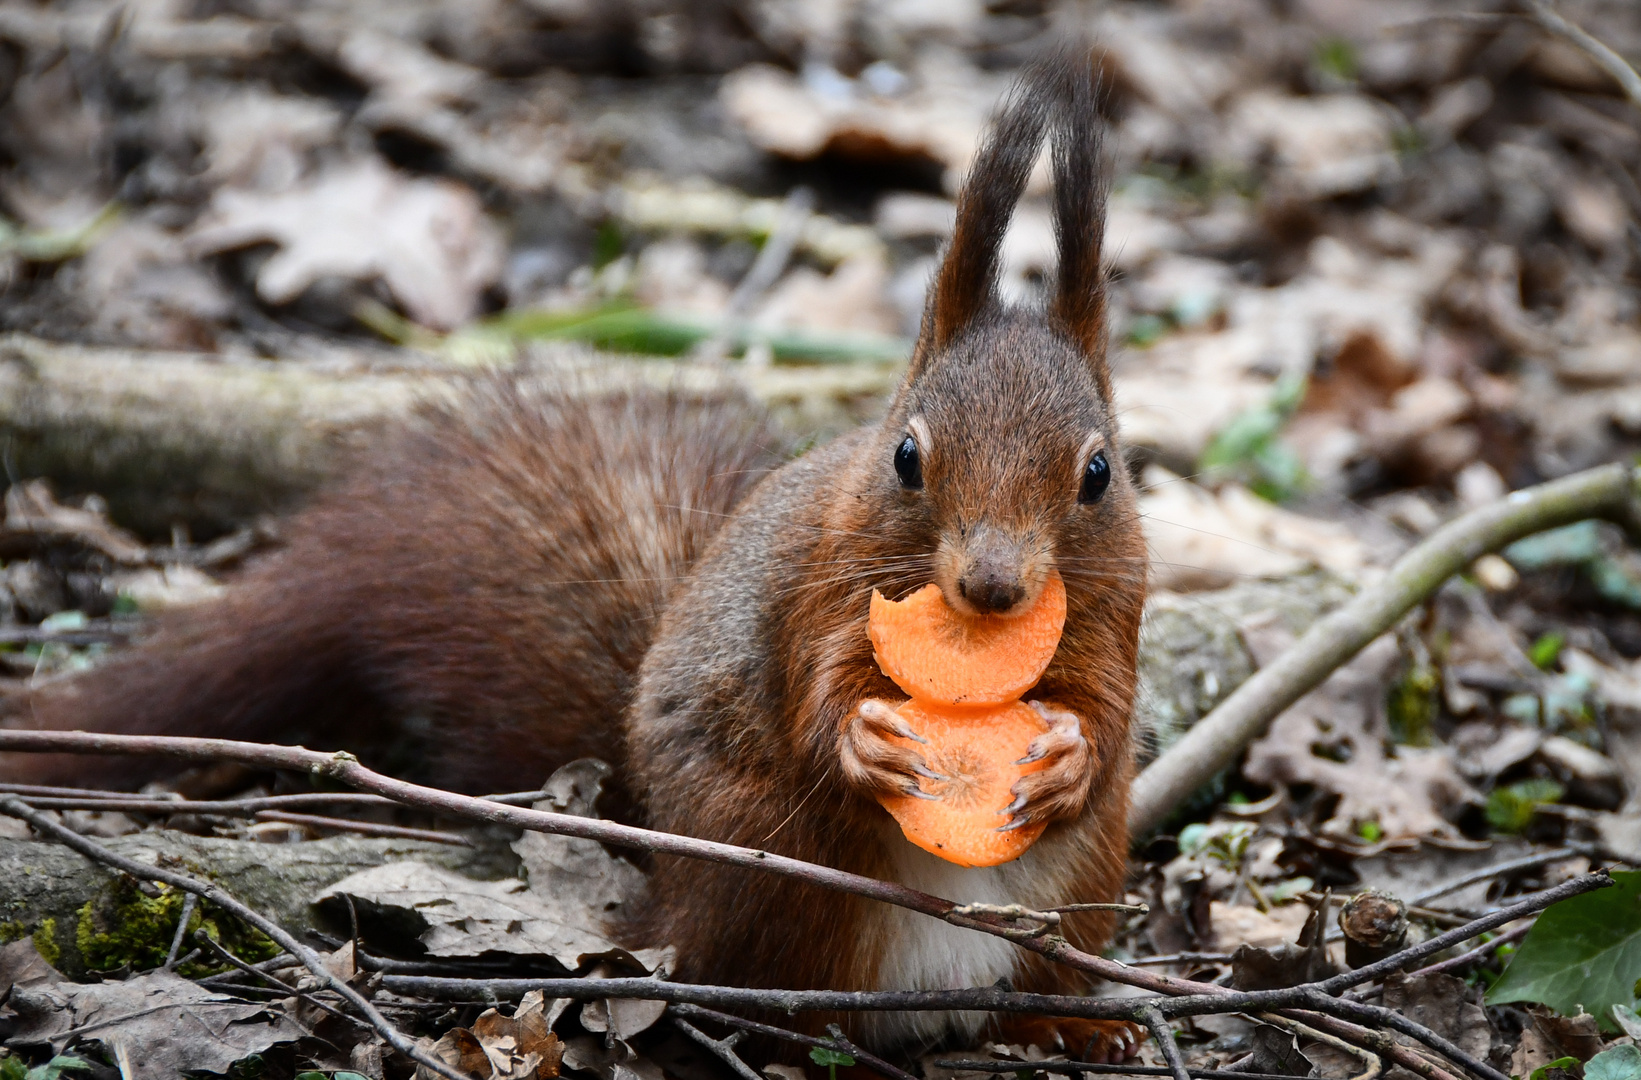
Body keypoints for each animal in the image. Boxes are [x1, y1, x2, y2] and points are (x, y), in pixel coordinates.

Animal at [0, 54, 1148, 1057]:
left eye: (1099, 473)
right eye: (907, 457)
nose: (993, 589)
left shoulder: (1117, 610)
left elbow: (1105, 705)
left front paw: (1065, 756)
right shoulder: (814, 590)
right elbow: (813, 701)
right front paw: (868, 741)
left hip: (1080, 891)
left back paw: (1078, 1027)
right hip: (779, 876)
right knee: (783, 998)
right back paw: (806, 1030)